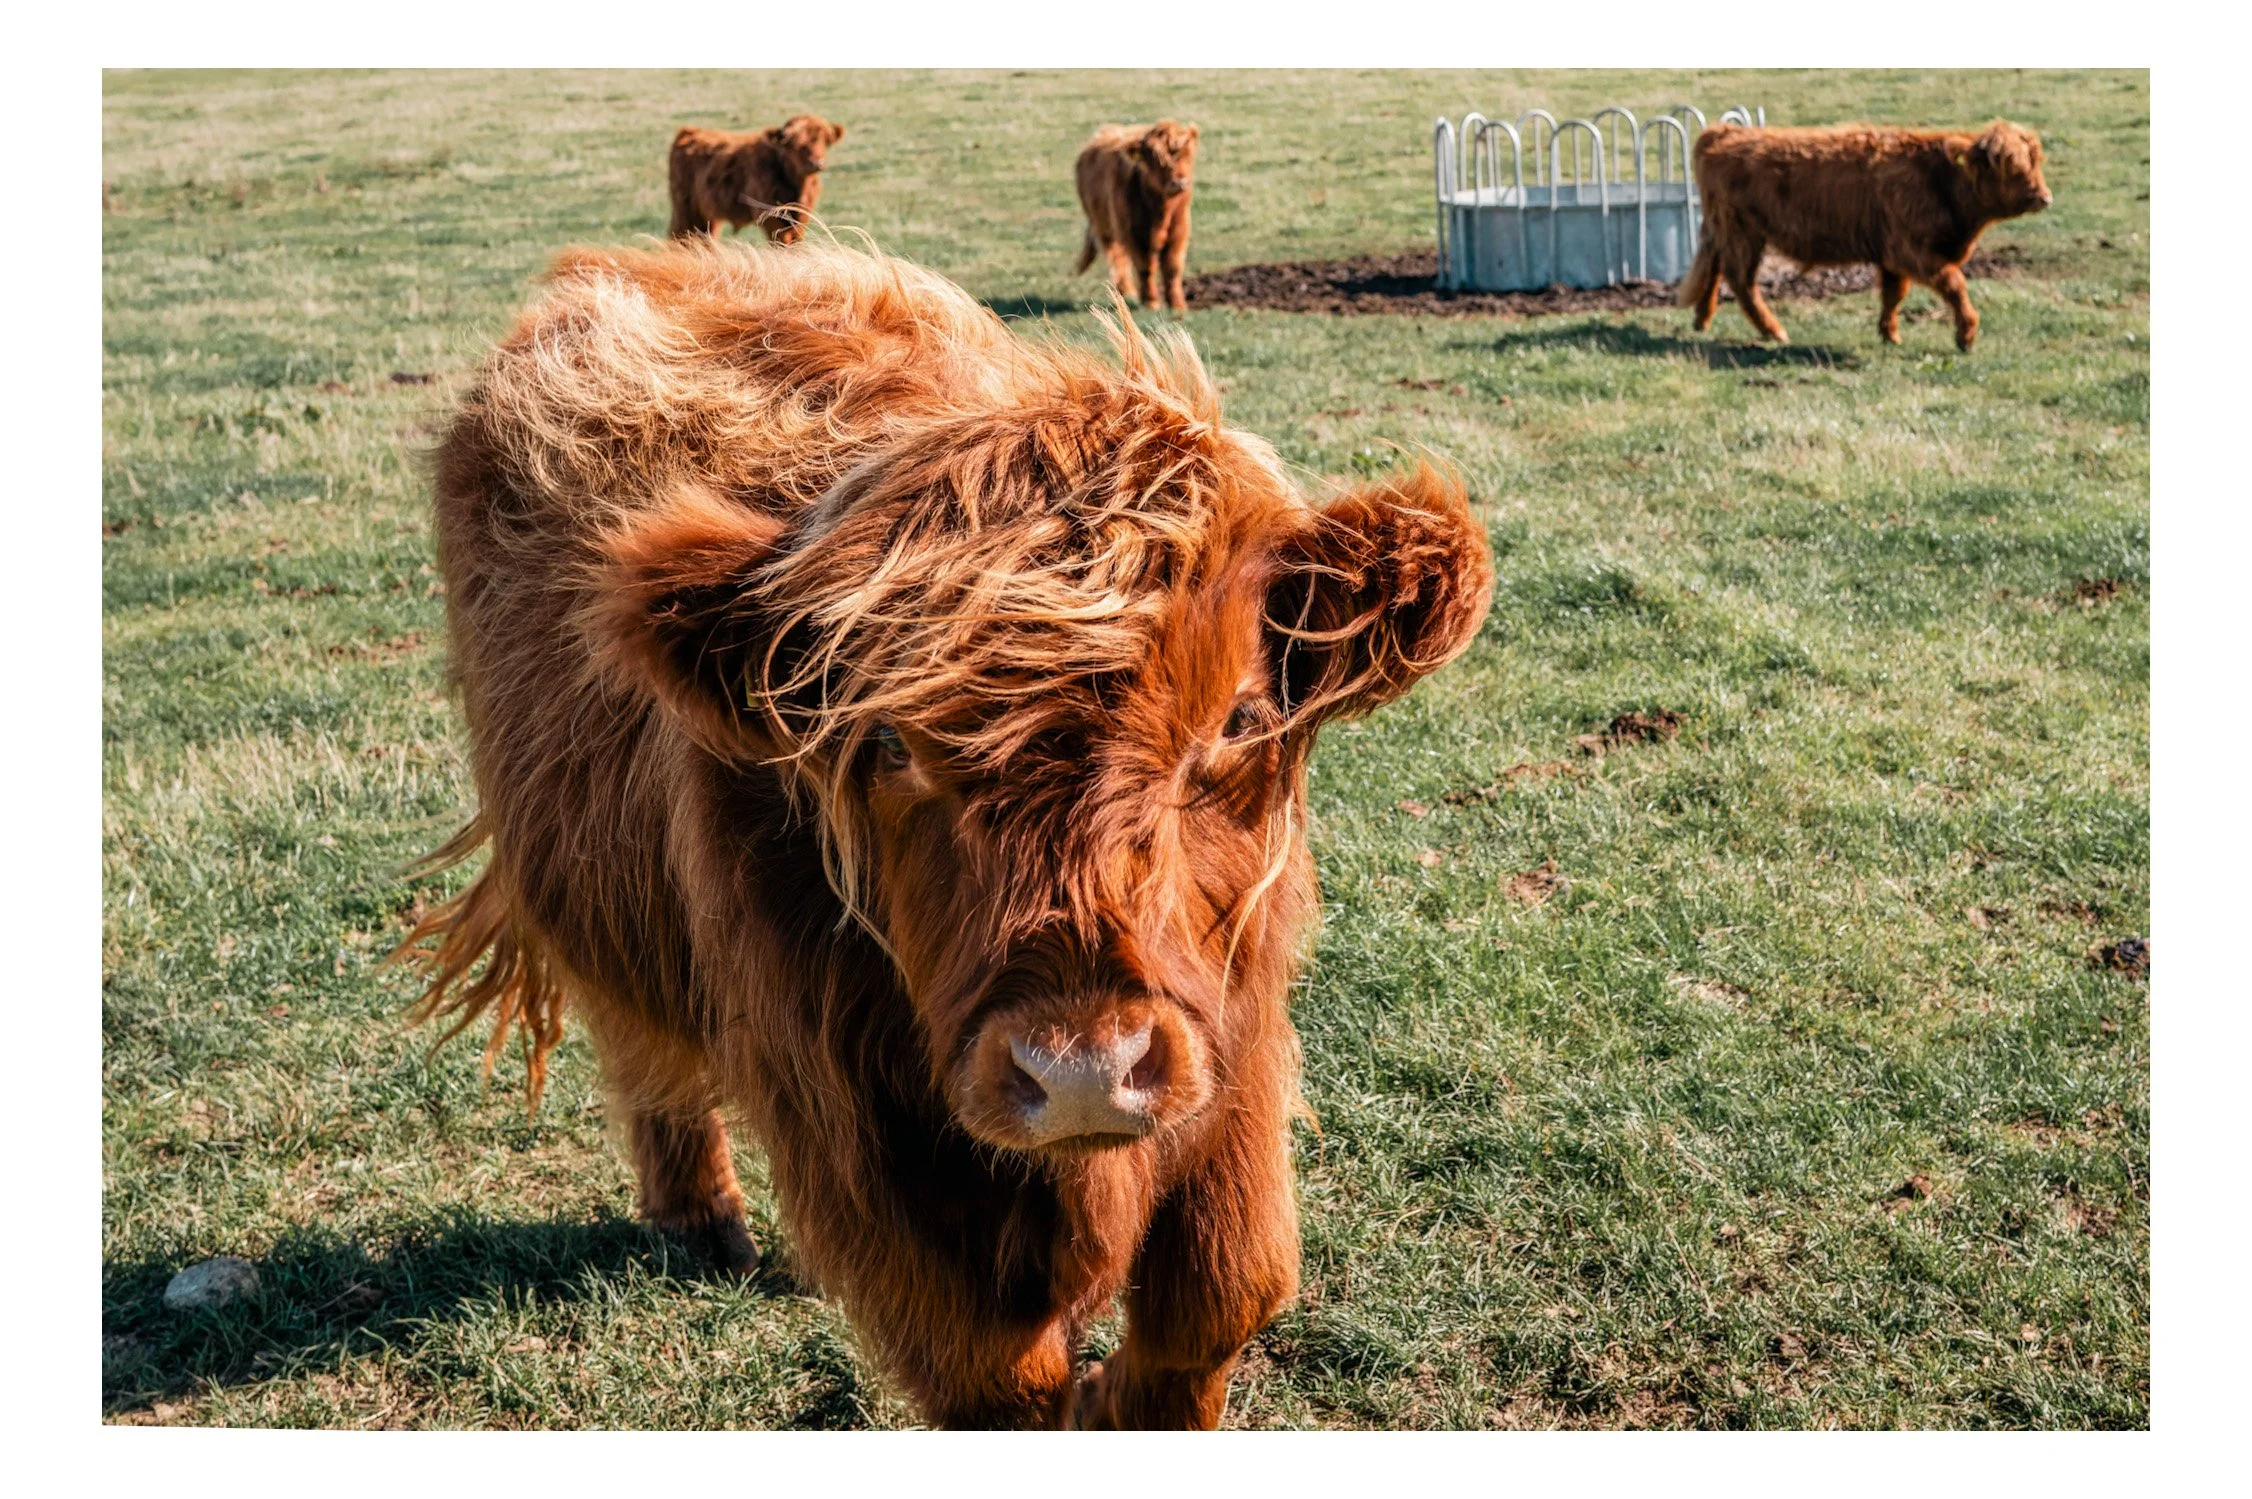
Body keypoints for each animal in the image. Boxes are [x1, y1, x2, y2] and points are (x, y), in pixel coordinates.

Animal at [402, 238, 1493, 1429]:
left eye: (1240, 720)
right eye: (887, 742)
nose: (1080, 1070)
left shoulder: (1230, 1035)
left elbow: (1221, 1291)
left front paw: (1118, 1392)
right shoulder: (852, 1118)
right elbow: (994, 1375)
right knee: (645, 1050)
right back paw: (703, 1219)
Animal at [667, 115, 846, 244]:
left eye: (824, 140)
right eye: (793, 143)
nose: (816, 163)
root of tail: (690, 132)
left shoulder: (801, 217)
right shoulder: (770, 216)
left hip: (708, 215)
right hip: (685, 208)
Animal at [1072, 120, 1200, 314]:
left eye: (1187, 154)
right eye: (1155, 159)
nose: (1179, 182)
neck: (1162, 210)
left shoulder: (1179, 231)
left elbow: (1173, 267)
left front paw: (1178, 305)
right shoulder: (1134, 234)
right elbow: (1146, 267)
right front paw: (1151, 302)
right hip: (1104, 227)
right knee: (1117, 258)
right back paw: (1127, 292)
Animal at [1682, 120, 2051, 351]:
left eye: (2035, 162)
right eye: (2009, 165)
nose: (2044, 197)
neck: (1939, 181)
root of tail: (1723, 133)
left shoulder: (1890, 255)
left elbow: (1893, 294)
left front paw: (1890, 335)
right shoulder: (1911, 250)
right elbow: (1954, 284)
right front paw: (1966, 336)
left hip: (1725, 231)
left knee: (1715, 269)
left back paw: (1702, 320)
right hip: (1742, 233)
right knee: (1741, 281)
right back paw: (1774, 331)